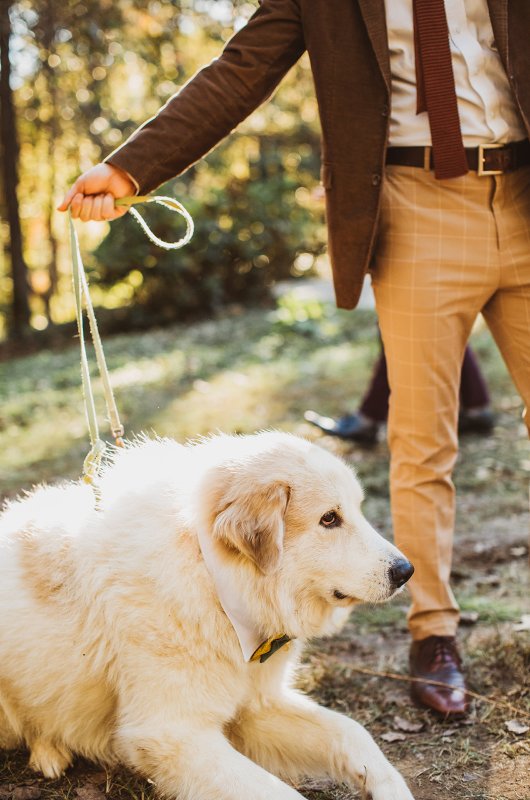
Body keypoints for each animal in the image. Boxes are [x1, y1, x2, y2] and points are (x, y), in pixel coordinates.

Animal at [0, 434, 412, 796]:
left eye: (358, 509)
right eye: (329, 519)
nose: (406, 571)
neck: (213, 578)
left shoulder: (258, 707)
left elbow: (351, 732)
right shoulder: (171, 733)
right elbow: (277, 793)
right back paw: (49, 752)